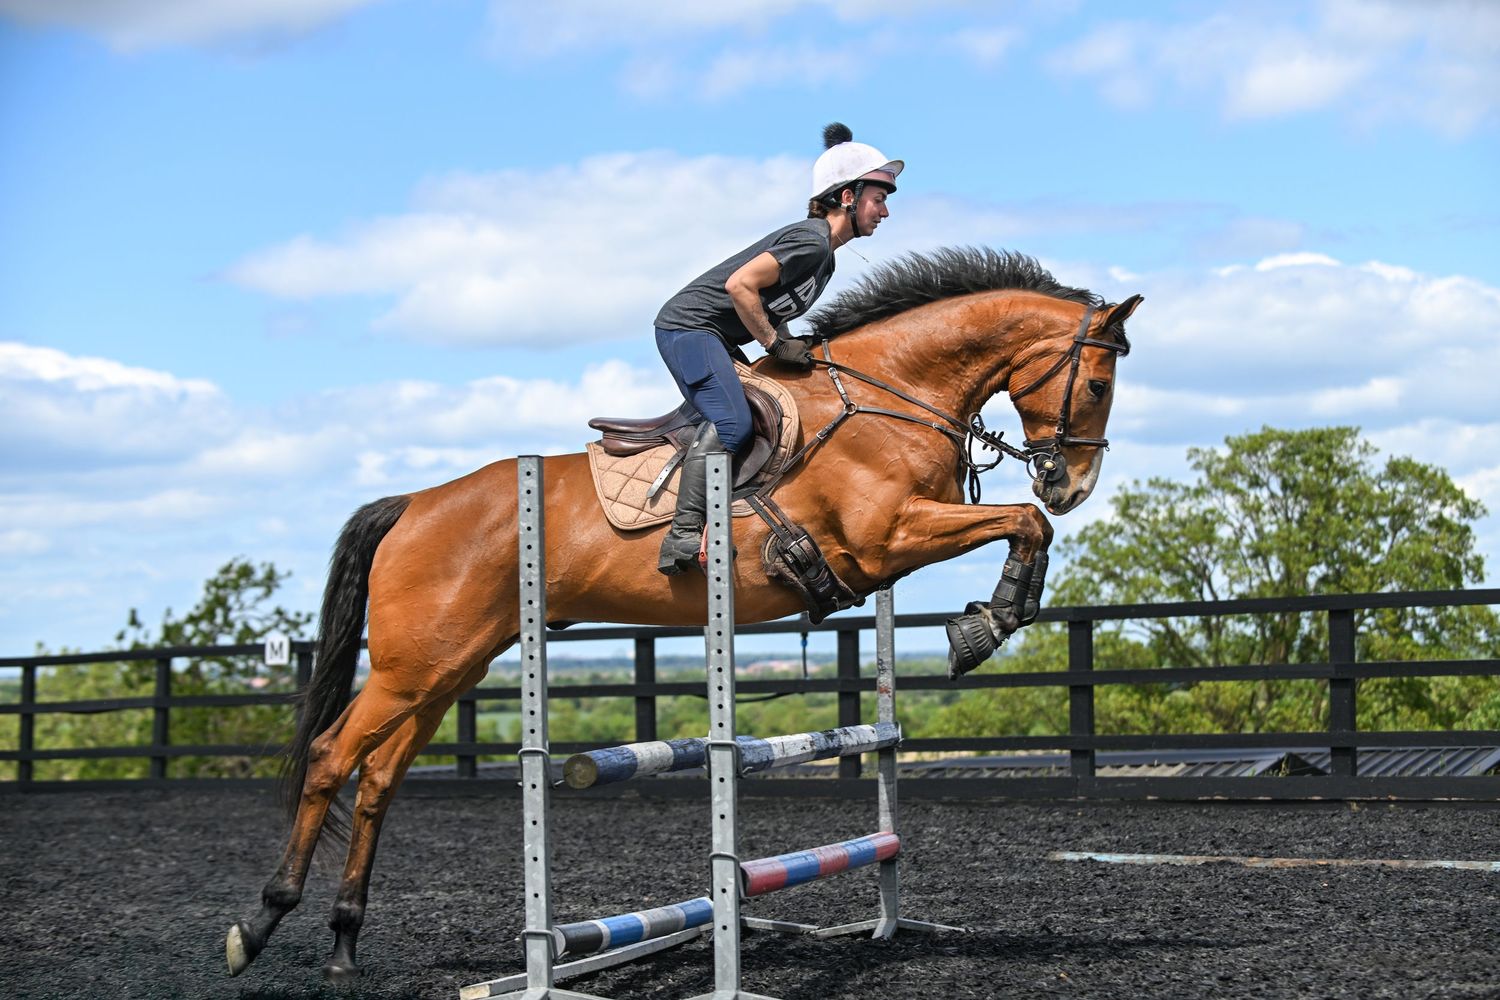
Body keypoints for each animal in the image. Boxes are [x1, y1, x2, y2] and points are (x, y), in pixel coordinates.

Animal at [224, 247, 1139, 980]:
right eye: (1096, 383)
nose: (1073, 482)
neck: (888, 396)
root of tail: (412, 505)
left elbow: (1026, 524)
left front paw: (990, 614)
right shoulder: (884, 540)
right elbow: (1024, 522)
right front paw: (985, 624)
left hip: (446, 667)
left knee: (379, 775)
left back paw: (344, 942)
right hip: (416, 665)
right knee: (332, 757)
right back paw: (260, 925)